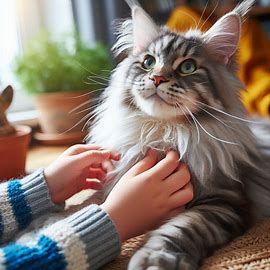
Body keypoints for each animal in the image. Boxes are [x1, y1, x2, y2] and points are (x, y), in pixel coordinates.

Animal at [88, 1, 270, 268]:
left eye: (188, 67)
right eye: (148, 62)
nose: (156, 78)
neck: (165, 134)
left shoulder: (225, 201)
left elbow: (181, 227)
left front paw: (154, 259)